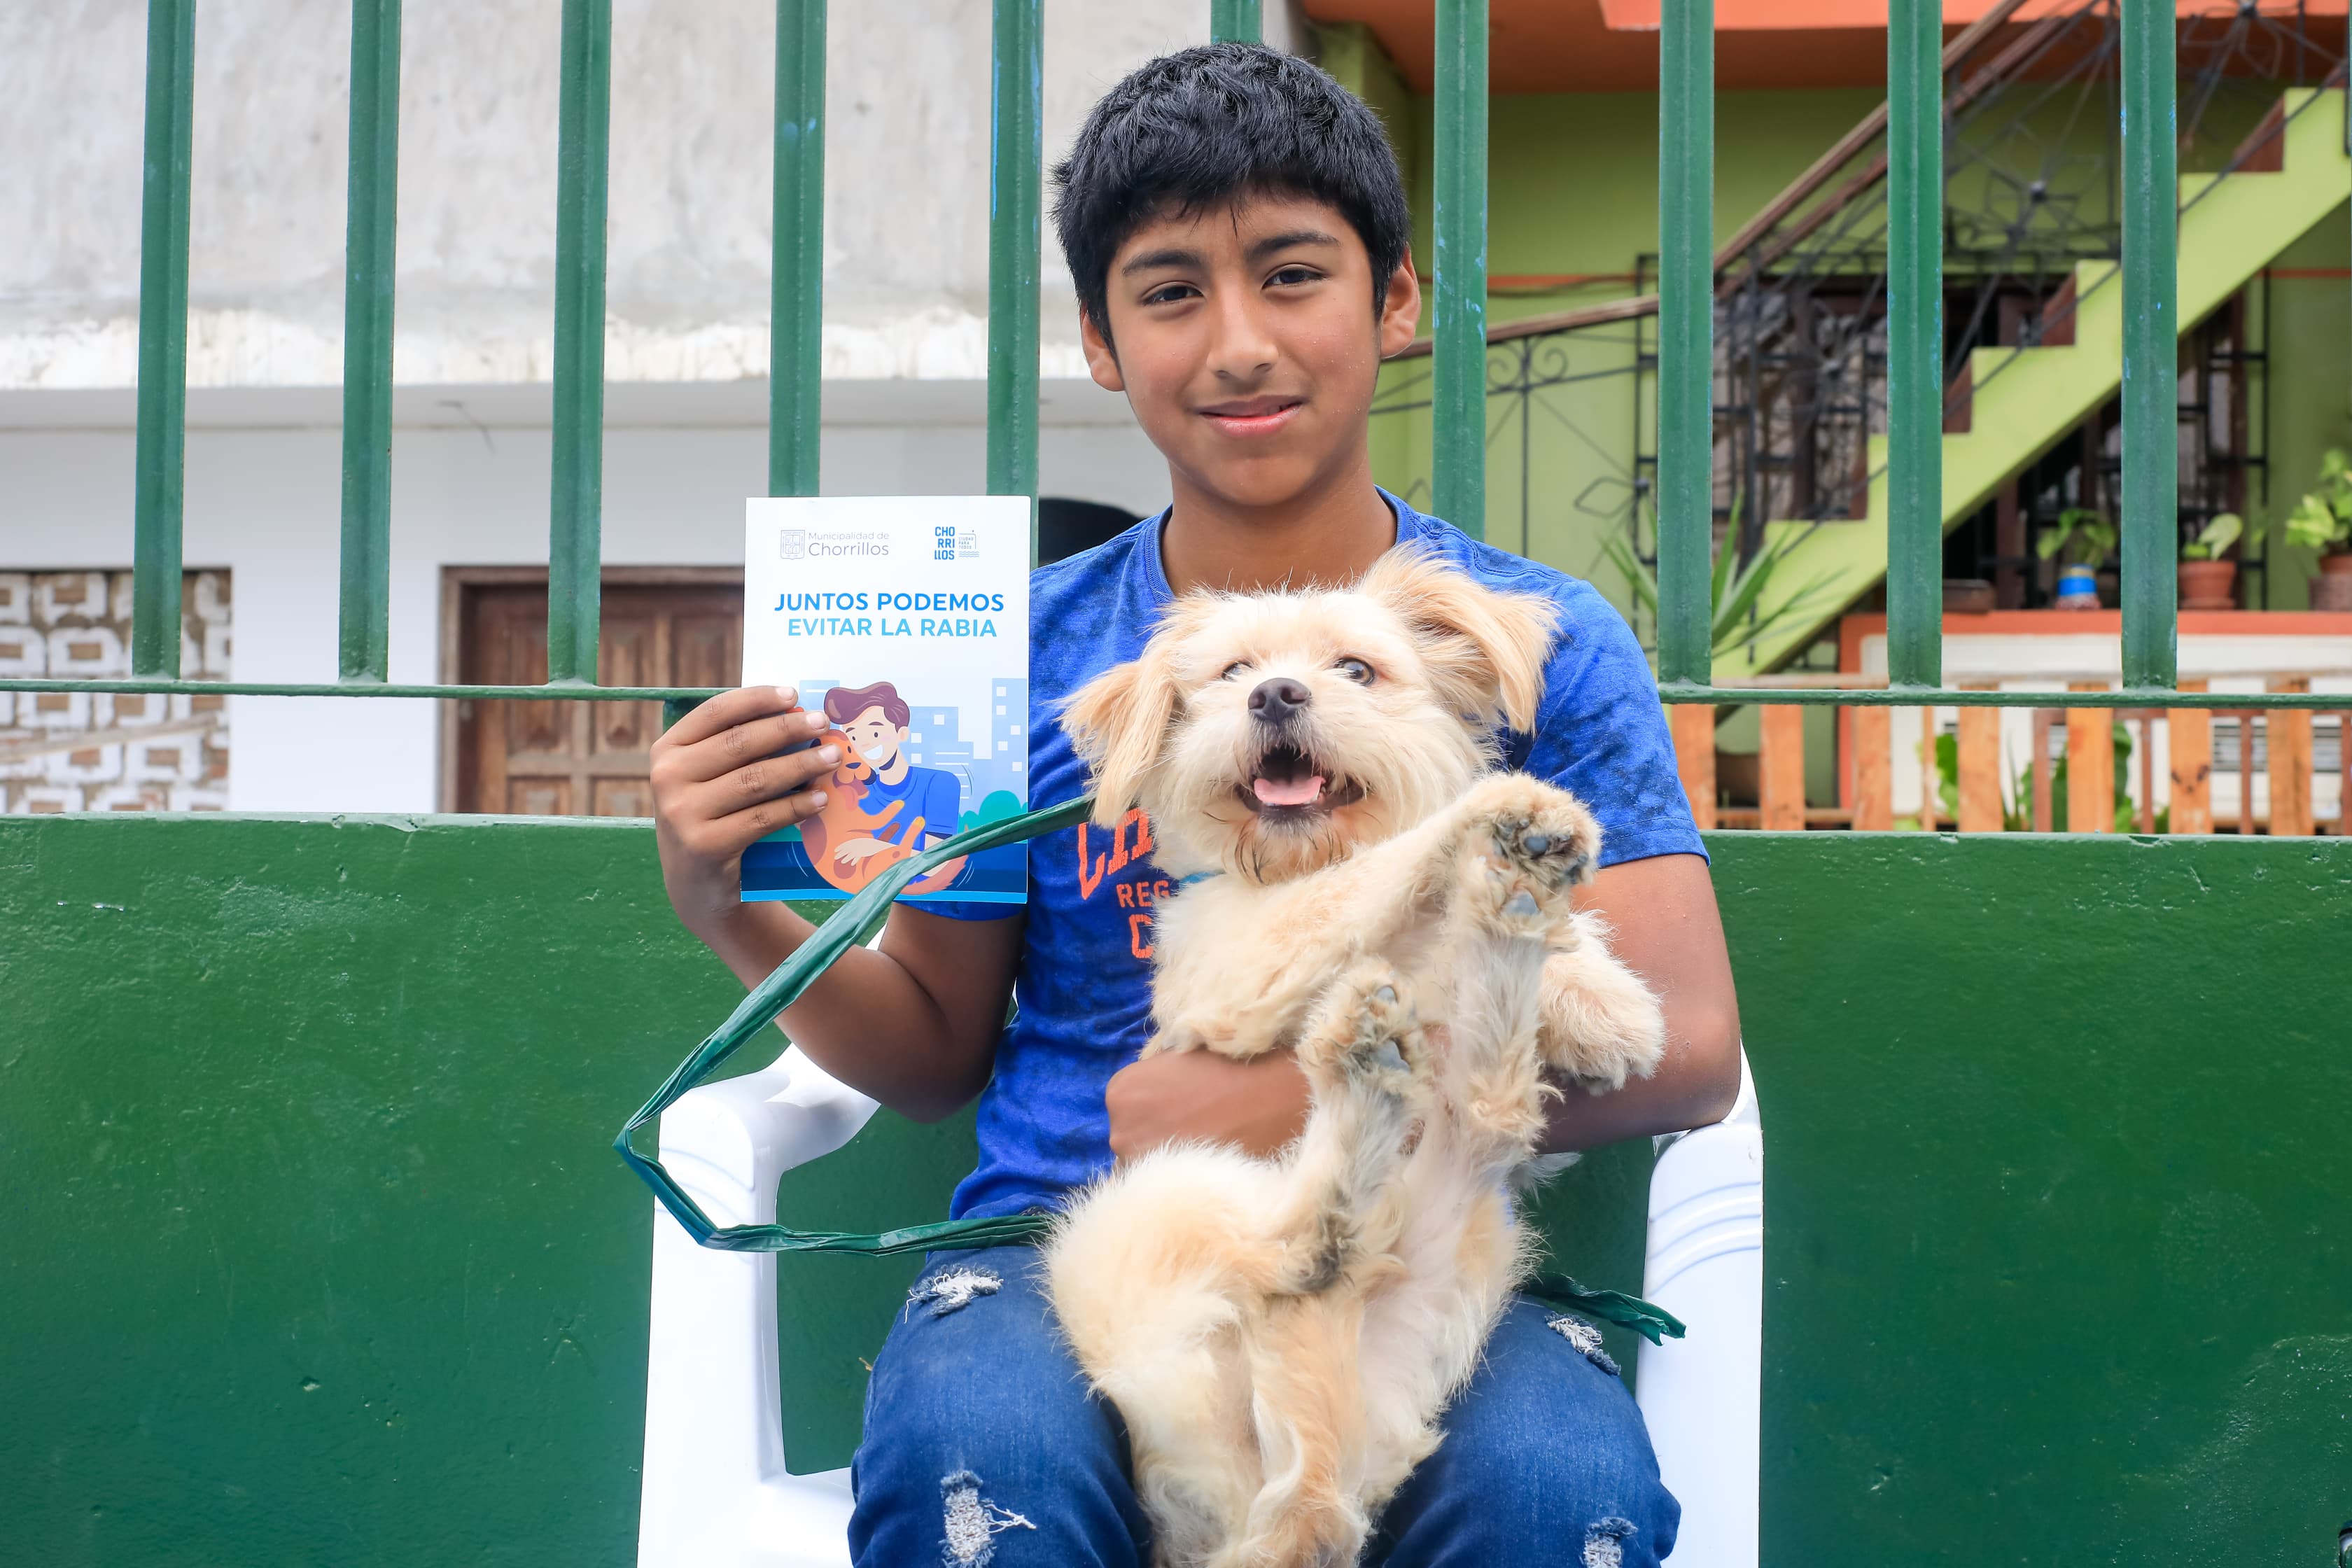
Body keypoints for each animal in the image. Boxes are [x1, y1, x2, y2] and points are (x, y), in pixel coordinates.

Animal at [1049, 545, 1674, 1560]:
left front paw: (1599, 998)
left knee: (1486, 1117)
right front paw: (1487, 820)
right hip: (1143, 1210)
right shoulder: (1233, 961)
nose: (1274, 695)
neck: (1297, 853)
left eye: (1356, 669)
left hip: (1446, 1248)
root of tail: (1288, 1511)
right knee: (1293, 1251)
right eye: (1231, 672)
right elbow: (1366, 880)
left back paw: (1498, 916)